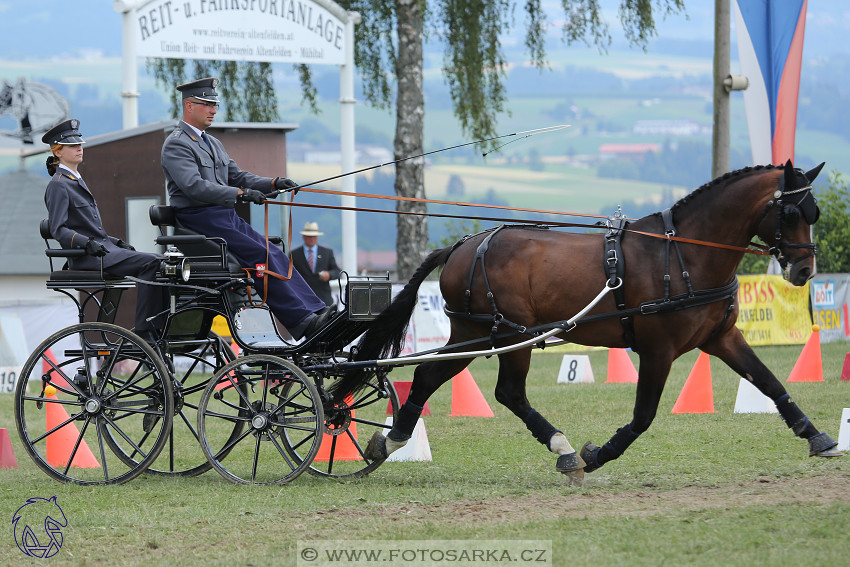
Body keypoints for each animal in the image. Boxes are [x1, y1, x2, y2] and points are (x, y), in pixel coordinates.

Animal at [328, 159, 840, 480]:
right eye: (790, 212)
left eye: (813, 212)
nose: (804, 270)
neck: (685, 254)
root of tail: (463, 245)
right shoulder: (657, 350)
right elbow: (644, 415)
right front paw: (598, 454)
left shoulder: (721, 337)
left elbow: (768, 381)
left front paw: (816, 435)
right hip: (507, 333)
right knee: (505, 391)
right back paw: (564, 448)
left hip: (478, 334)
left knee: (432, 377)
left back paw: (390, 440)